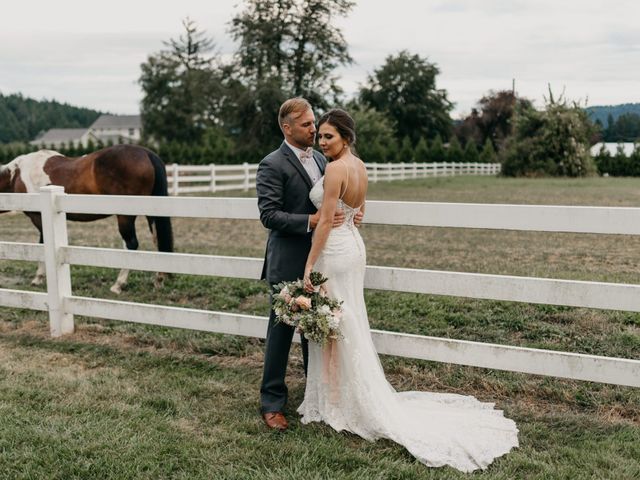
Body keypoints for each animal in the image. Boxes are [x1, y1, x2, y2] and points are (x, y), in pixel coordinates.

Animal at [0, 142, 174, 292]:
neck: (17, 175)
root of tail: (146, 153)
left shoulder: (38, 217)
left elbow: (42, 244)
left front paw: (38, 278)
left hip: (125, 216)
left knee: (131, 244)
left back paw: (118, 285)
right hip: (152, 213)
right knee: (157, 240)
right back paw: (159, 280)